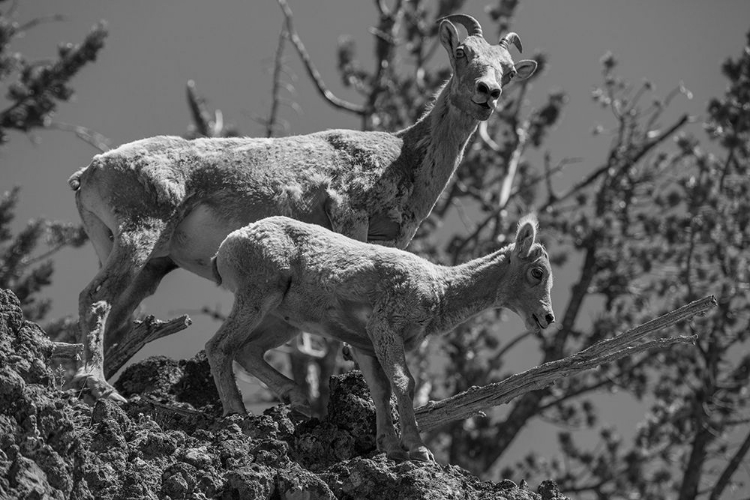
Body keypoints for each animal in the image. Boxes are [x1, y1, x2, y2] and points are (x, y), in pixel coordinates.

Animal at [67, 13, 540, 400]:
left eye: (509, 71)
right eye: (462, 52)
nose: (488, 93)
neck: (404, 155)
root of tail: (91, 171)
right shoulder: (350, 214)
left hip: (146, 262)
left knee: (117, 316)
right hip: (139, 233)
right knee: (95, 297)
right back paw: (98, 386)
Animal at [209, 214, 556, 460]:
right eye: (537, 272)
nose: (547, 318)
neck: (440, 292)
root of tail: (226, 247)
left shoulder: (365, 345)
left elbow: (380, 390)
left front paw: (389, 446)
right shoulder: (385, 327)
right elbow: (404, 382)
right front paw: (418, 450)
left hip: (282, 320)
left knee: (247, 351)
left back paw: (298, 400)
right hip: (259, 295)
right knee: (219, 346)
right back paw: (237, 412)